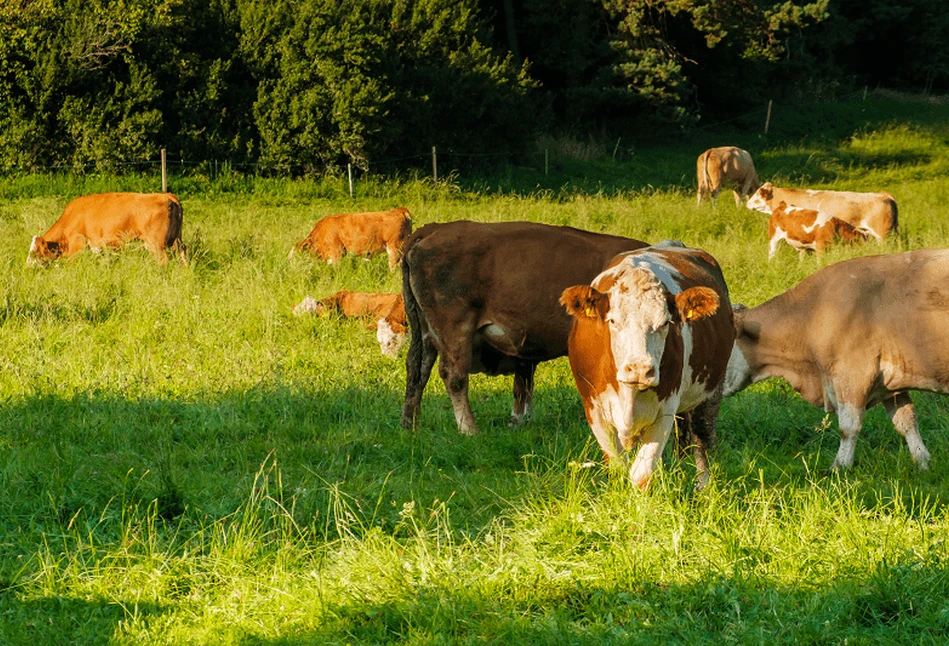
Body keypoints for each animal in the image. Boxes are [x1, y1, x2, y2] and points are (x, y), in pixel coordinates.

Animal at [27, 192, 187, 266]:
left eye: (34, 253)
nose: (27, 268)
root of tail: (166, 195)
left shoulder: (77, 244)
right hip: (177, 240)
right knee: (183, 252)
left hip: (156, 244)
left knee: (163, 261)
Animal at [396, 220, 648, 438]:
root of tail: (435, 229)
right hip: (454, 328)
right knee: (453, 376)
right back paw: (469, 429)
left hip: (426, 332)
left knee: (417, 369)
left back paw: (410, 424)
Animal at [560, 243, 736, 492]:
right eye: (613, 321)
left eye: (664, 323)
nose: (639, 369)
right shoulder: (594, 409)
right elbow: (618, 469)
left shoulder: (665, 410)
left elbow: (641, 475)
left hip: (711, 391)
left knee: (702, 439)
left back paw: (702, 487)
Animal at [724, 251, 948, 474]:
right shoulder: (891, 384)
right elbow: (907, 422)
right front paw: (923, 463)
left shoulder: (853, 375)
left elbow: (848, 426)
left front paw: (839, 468)